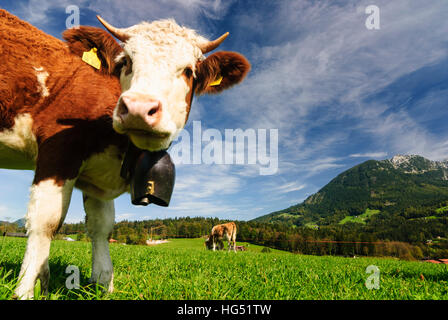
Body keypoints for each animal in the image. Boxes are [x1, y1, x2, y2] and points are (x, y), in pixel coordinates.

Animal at [0, 10, 248, 300]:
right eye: (126, 61)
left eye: (189, 71)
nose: (139, 108)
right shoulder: (57, 152)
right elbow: (45, 223)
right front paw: (28, 289)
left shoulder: (96, 177)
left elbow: (101, 227)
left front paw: (102, 285)